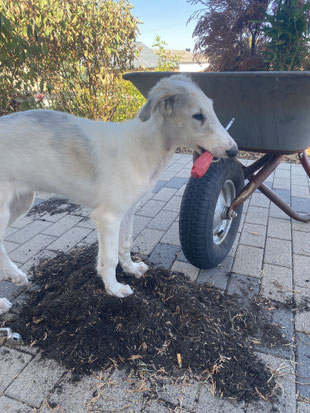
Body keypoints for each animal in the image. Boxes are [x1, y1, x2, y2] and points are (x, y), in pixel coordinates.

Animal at [0, 74, 237, 312]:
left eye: (212, 109)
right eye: (197, 115)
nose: (234, 151)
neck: (144, 146)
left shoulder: (128, 210)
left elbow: (124, 245)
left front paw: (130, 269)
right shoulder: (108, 217)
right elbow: (111, 257)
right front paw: (113, 289)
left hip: (21, 202)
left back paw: (15, 277)